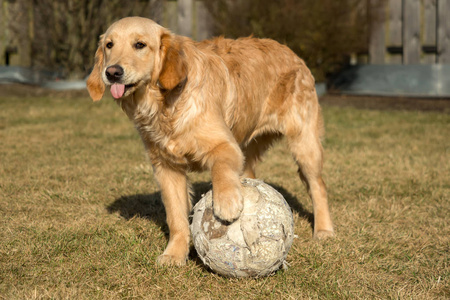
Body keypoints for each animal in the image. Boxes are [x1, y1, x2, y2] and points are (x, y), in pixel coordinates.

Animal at [87, 16, 334, 266]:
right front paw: (174, 254)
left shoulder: (226, 145)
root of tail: (291, 52)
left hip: (305, 144)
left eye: (140, 44)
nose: (112, 72)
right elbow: (176, 217)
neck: (165, 105)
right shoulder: (167, 167)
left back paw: (324, 230)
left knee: (318, 187)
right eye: (109, 45)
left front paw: (227, 202)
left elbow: (221, 169)